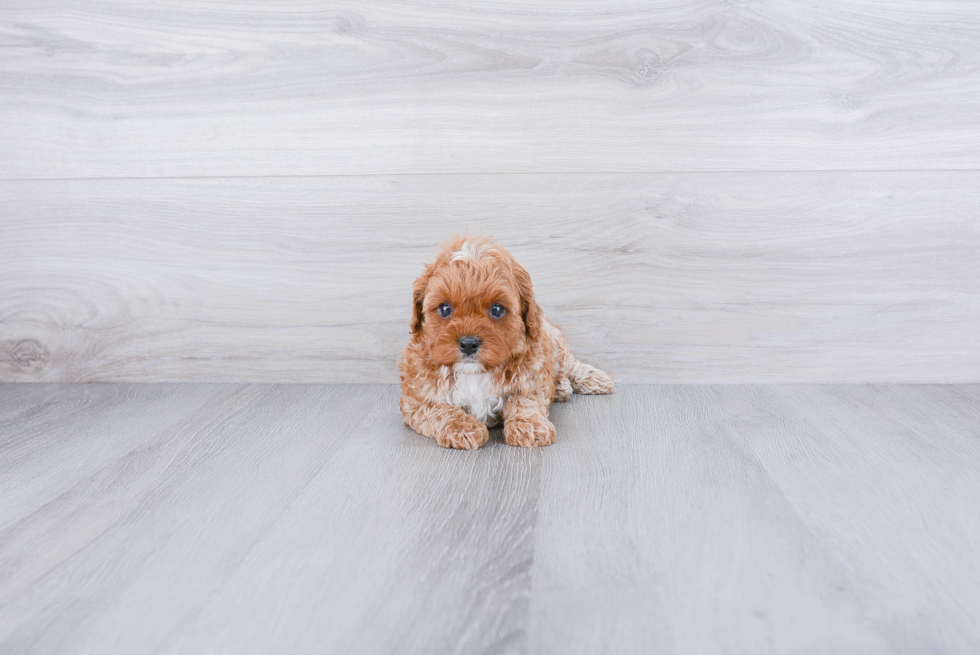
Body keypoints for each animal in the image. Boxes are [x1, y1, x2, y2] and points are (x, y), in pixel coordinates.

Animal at [398, 237, 612, 452]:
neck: (474, 373)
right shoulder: (417, 400)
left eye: (497, 309)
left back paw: (595, 379)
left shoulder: (532, 380)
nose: (468, 344)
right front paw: (463, 427)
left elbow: (522, 400)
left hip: (552, 339)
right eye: (444, 309)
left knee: (568, 363)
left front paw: (530, 425)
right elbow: (440, 409)